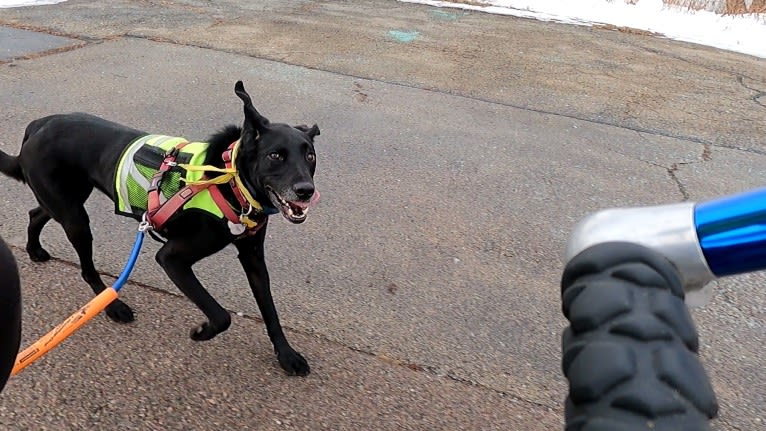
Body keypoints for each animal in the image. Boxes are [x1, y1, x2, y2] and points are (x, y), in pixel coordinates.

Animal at [0, 82, 320, 378]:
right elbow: (221, 315)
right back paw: (113, 306)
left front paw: (287, 355)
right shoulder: (172, 259)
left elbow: (270, 310)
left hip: (68, 199)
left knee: (36, 213)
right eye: (275, 156)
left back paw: (34, 249)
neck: (228, 180)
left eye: (310, 156)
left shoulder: (253, 256)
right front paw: (202, 331)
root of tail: (37, 126)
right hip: (75, 218)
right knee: (86, 268)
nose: (306, 191)